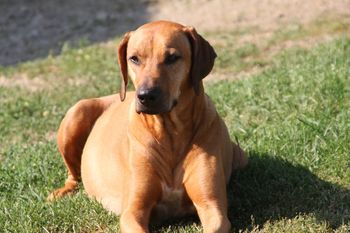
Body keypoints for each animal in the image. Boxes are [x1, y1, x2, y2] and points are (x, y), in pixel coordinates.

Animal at [48, 20, 246, 232]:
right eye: (134, 59)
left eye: (172, 58)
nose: (145, 96)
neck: (169, 133)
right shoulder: (132, 211)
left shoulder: (212, 207)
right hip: (77, 111)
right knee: (74, 176)